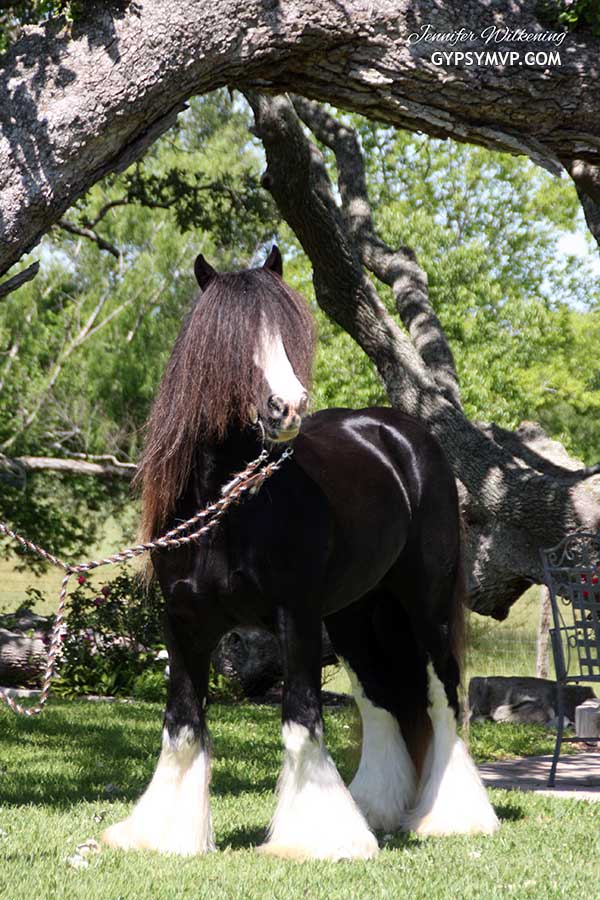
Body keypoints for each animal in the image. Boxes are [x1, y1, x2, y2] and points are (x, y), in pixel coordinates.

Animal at [102, 246, 499, 860]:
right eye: (232, 343)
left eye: (288, 334)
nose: (287, 408)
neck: (228, 508)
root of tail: (403, 435)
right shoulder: (183, 622)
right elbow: (183, 724)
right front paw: (165, 835)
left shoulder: (295, 617)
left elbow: (301, 717)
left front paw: (316, 838)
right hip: (356, 614)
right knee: (381, 700)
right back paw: (376, 811)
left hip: (423, 606)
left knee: (443, 698)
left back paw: (450, 818)